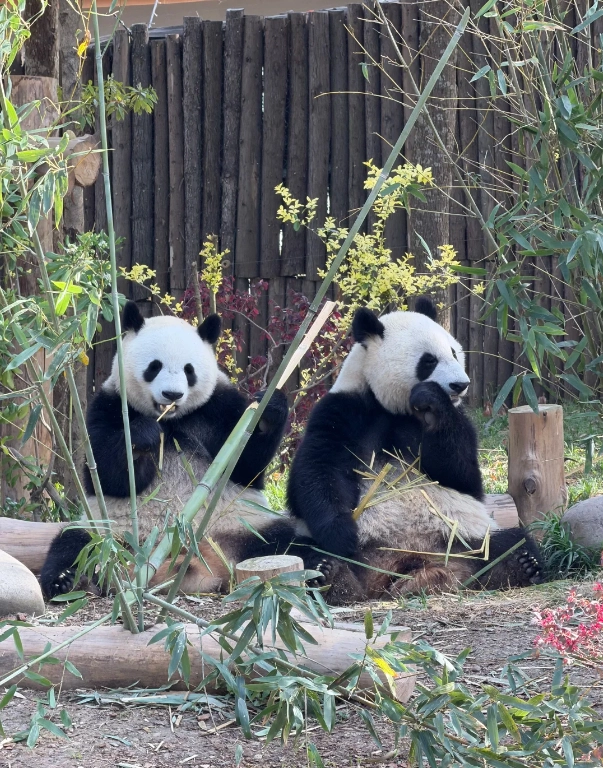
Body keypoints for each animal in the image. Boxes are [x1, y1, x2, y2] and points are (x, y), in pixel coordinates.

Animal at [39, 302, 291, 599]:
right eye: (154, 367)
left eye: (189, 370)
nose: (172, 395)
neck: (171, 420)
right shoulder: (107, 407)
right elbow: (107, 477)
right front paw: (144, 435)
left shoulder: (219, 407)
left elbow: (247, 469)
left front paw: (270, 409)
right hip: (111, 531)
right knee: (75, 543)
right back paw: (64, 580)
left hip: (243, 523)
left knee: (286, 540)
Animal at [286, 298, 544, 605]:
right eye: (429, 360)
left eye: (454, 352)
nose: (461, 385)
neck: (394, 408)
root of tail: (413, 563)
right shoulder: (344, 410)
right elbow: (318, 471)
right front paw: (342, 535)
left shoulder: (454, 420)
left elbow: (462, 474)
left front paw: (432, 400)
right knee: (297, 551)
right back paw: (330, 575)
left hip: (465, 534)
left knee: (505, 543)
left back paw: (519, 565)